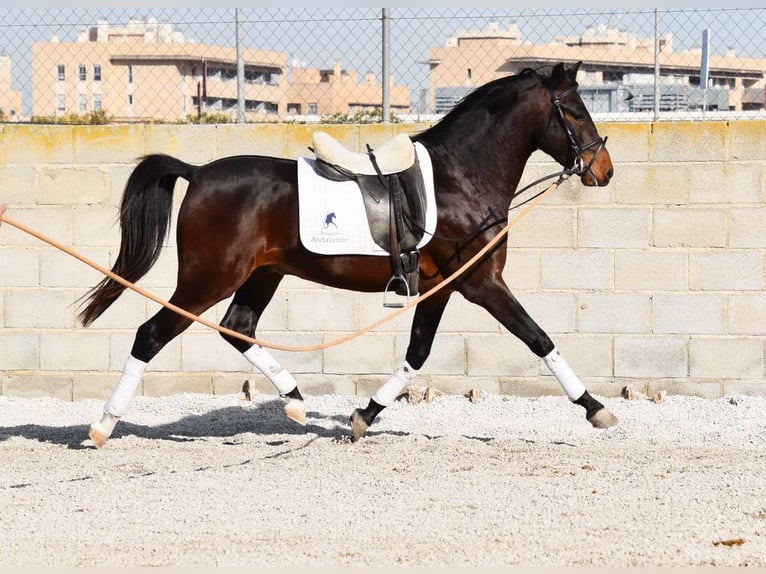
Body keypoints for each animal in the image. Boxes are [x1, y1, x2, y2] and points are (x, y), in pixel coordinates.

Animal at [78, 63, 616, 450]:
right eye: (574, 111)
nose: (603, 169)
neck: (460, 178)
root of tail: (198, 172)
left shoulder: (440, 289)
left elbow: (416, 356)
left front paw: (362, 416)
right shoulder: (481, 283)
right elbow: (539, 339)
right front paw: (595, 408)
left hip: (261, 275)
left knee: (238, 327)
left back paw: (295, 401)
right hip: (207, 279)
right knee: (151, 335)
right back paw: (103, 426)